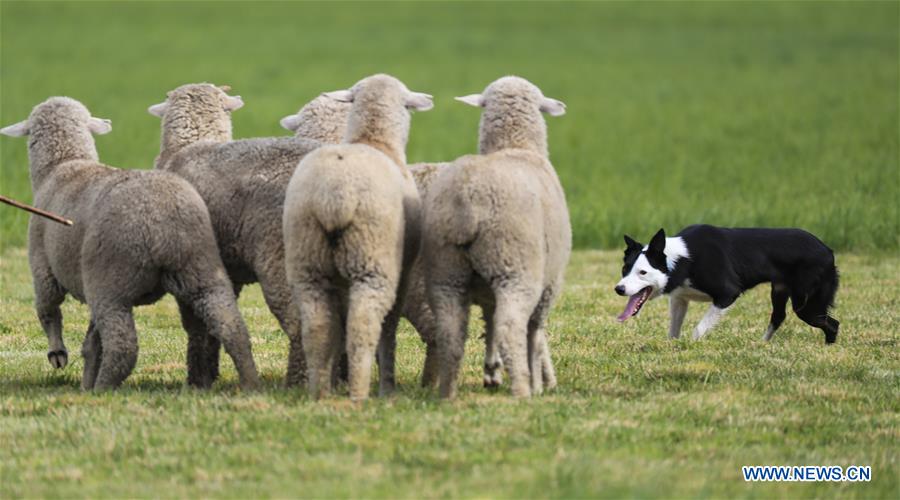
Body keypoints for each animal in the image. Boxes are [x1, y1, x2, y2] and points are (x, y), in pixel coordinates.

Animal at [0, 95, 260, 388]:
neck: (66, 163)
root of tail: (163, 224)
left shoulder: (43, 268)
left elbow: (47, 311)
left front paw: (58, 355)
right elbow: (92, 342)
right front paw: (87, 374)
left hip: (111, 282)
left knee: (122, 343)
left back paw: (103, 389)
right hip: (201, 268)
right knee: (232, 326)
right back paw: (250, 380)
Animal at [151, 84, 352, 384]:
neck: (191, 144)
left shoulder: (187, 266)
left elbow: (196, 325)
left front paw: (197, 379)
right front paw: (209, 373)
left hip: (281, 258)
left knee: (302, 321)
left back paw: (296, 382)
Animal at [284, 74, 432, 400]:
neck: (374, 139)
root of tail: (335, 194)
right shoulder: (401, 273)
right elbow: (388, 329)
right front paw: (387, 385)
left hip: (308, 259)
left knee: (317, 327)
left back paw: (320, 391)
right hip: (372, 261)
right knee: (363, 327)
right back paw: (362, 392)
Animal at [422, 75, 568, 398]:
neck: (514, 144)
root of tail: (469, 198)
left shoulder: (487, 289)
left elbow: (488, 322)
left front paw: (492, 369)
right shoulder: (549, 282)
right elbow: (534, 331)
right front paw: (538, 381)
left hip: (446, 271)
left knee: (452, 330)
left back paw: (447, 392)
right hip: (514, 268)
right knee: (511, 326)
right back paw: (523, 388)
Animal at [616, 226, 840, 344]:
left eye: (643, 272)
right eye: (625, 269)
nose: (618, 289)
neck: (680, 260)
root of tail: (828, 250)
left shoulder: (727, 293)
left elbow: (699, 329)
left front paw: (690, 347)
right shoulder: (680, 298)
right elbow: (673, 330)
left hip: (806, 304)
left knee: (833, 324)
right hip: (779, 291)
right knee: (778, 316)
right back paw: (762, 344)